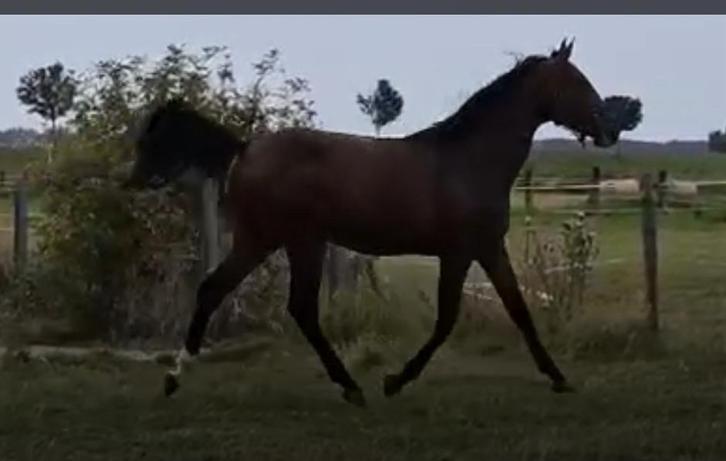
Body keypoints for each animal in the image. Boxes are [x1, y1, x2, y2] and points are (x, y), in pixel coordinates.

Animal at [125, 39, 620, 407]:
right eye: (577, 82)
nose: (611, 128)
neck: (468, 161)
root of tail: (244, 148)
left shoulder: (488, 248)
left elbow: (519, 311)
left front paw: (559, 378)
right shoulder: (459, 252)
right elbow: (447, 320)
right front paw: (395, 381)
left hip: (275, 241)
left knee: (237, 295)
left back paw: (181, 378)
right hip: (288, 240)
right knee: (275, 303)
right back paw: (346, 387)